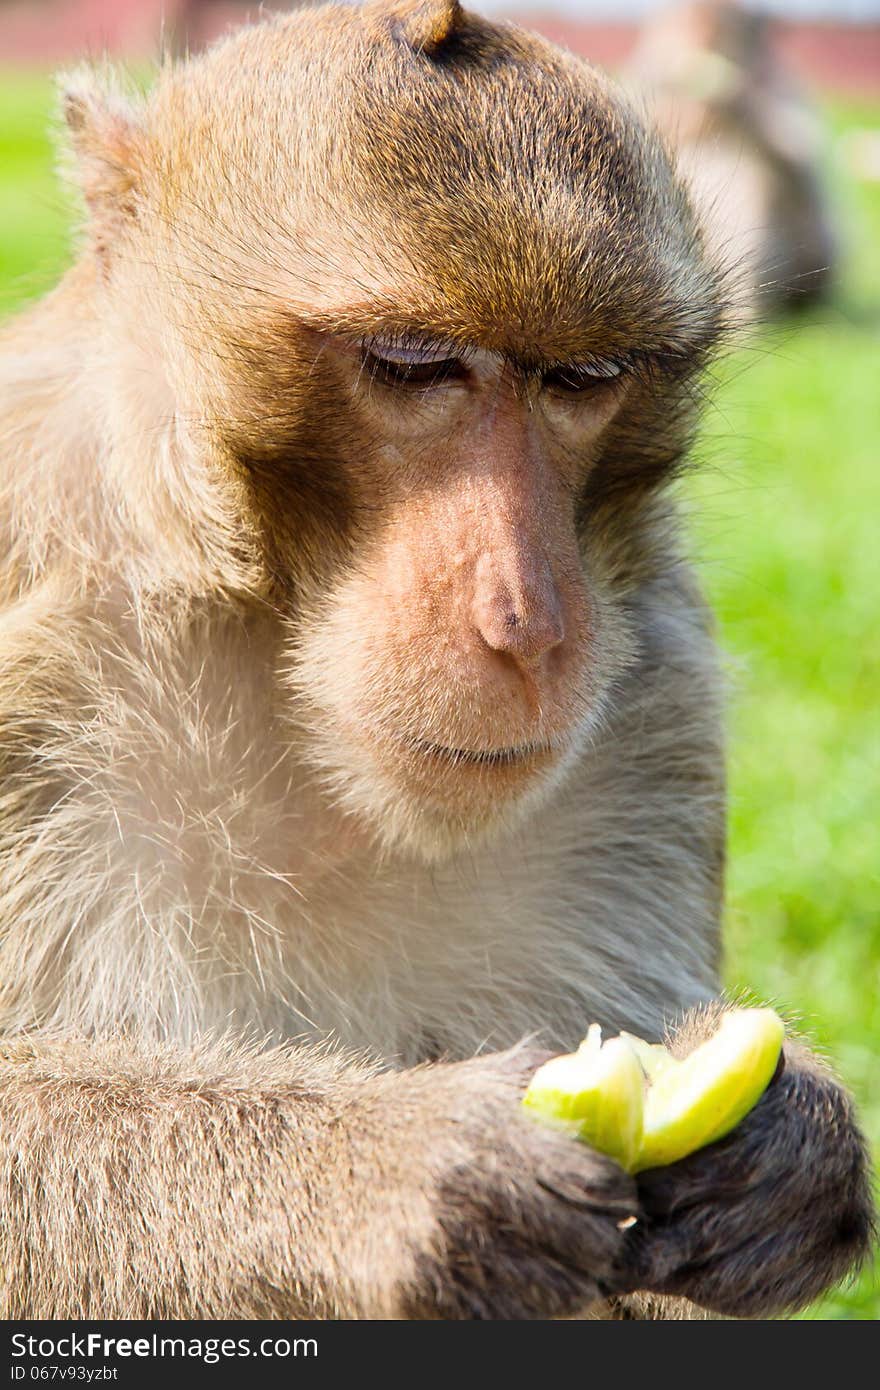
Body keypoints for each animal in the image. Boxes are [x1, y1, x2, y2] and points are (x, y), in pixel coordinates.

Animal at [625, 1, 839, 316]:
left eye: (725, 29)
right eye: (687, 26)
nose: (701, 41)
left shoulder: (783, 89)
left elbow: (799, 155)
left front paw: (734, 95)